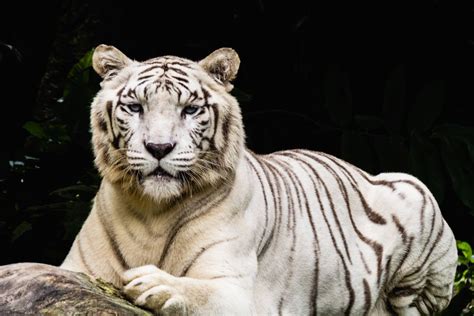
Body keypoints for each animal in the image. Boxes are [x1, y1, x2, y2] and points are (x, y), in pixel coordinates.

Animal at [61, 45, 458, 316]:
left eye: (190, 110)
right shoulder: (74, 270)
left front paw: (153, 282)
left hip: (416, 196)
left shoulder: (240, 293)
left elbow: (199, 291)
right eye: (135, 107)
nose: (159, 147)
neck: (152, 214)